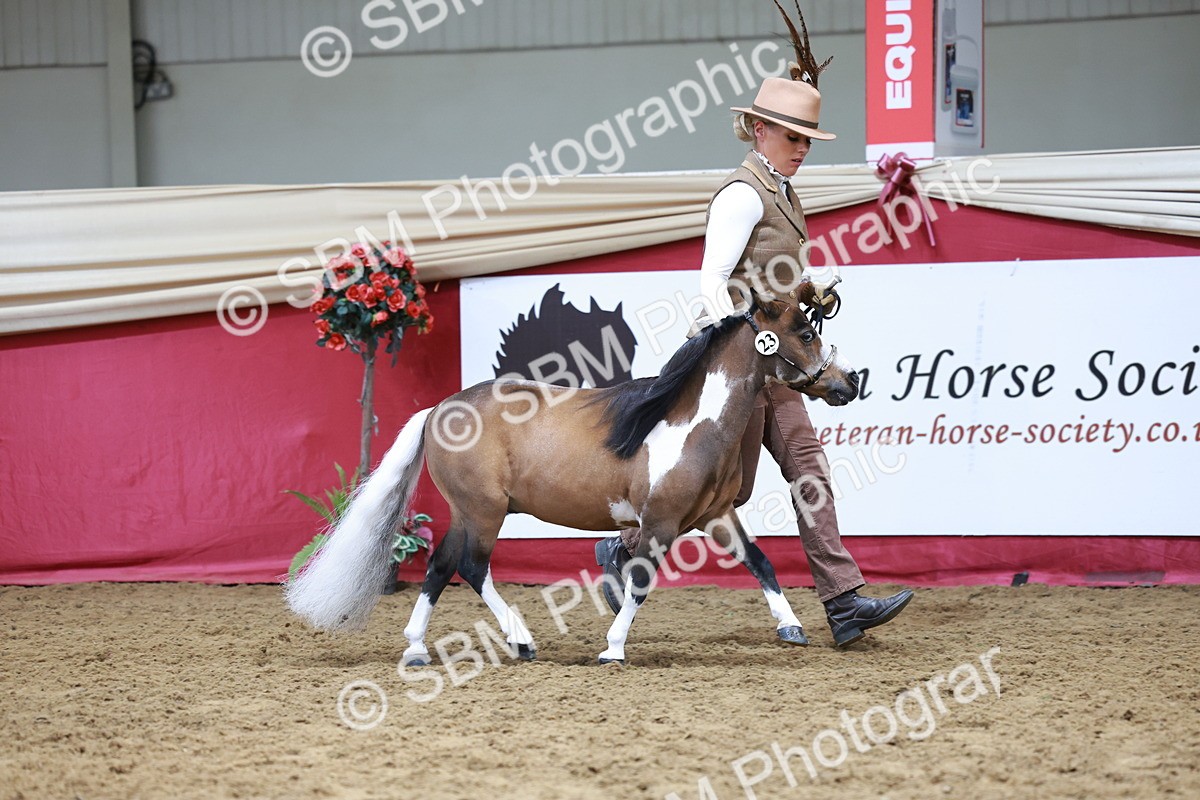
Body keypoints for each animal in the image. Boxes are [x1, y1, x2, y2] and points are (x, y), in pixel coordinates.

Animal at [285, 285, 860, 665]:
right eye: (805, 332)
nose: (849, 382)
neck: (690, 423)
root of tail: (437, 410)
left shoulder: (714, 515)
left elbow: (761, 563)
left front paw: (792, 626)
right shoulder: (661, 523)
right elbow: (640, 582)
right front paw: (613, 649)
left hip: (467, 511)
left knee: (441, 565)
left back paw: (419, 648)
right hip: (484, 510)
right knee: (469, 565)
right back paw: (518, 640)